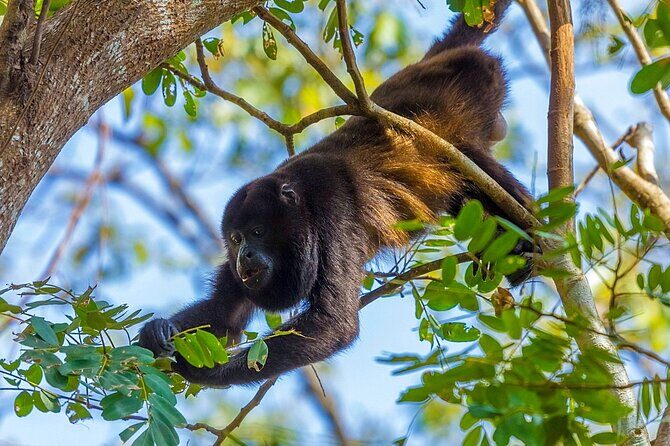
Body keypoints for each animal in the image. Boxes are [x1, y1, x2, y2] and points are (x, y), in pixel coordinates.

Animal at [138, 0, 533, 387]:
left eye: (258, 232)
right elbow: (224, 315)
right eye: (235, 239)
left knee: (476, 166)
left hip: (474, 86)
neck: (300, 199)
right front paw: (157, 332)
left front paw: (205, 372)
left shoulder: (332, 207)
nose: (244, 255)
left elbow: (333, 323)